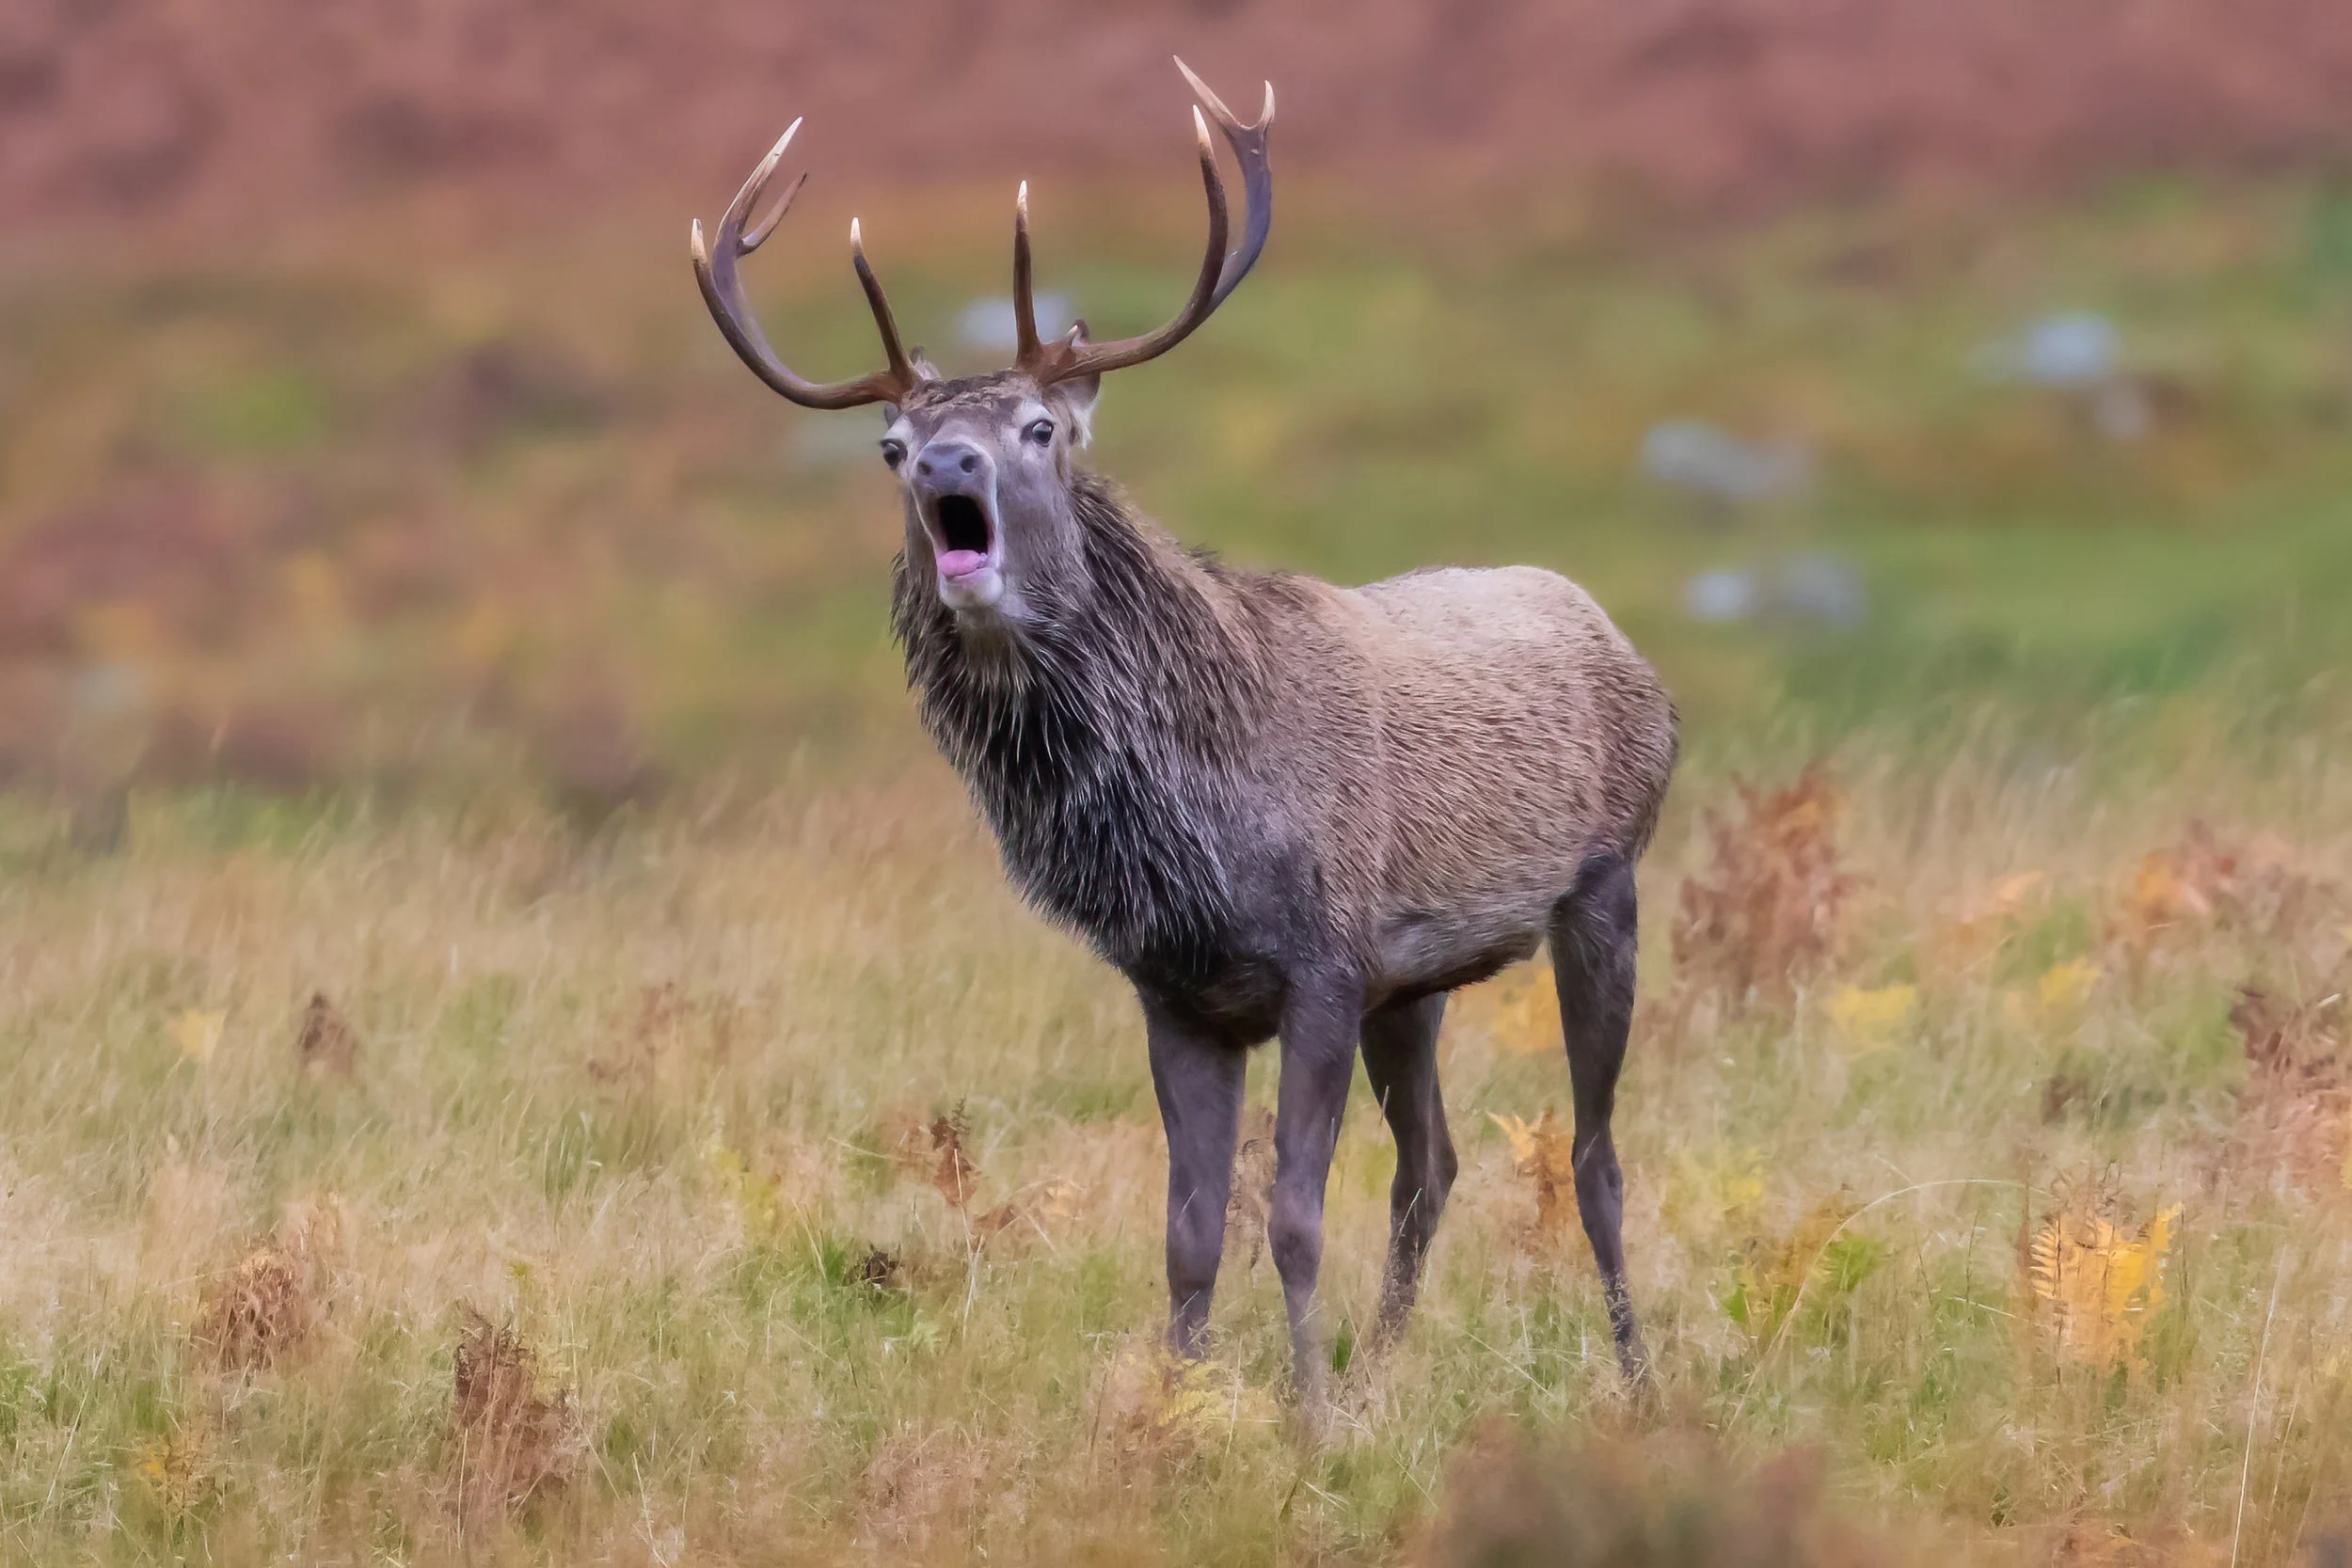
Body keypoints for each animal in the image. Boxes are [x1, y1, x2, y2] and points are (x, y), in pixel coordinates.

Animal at [691, 60, 1678, 1402]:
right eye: (891, 446)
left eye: (1039, 428)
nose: (946, 463)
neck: (1197, 831)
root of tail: (1626, 651)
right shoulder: (1178, 991)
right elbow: (1191, 1231)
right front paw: (1186, 1404)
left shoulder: (1322, 960)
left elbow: (1293, 1216)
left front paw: (1308, 1415)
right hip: (1416, 983)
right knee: (1432, 1164)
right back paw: (1385, 1365)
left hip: (1602, 887)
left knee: (1593, 1152)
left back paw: (1634, 1379)